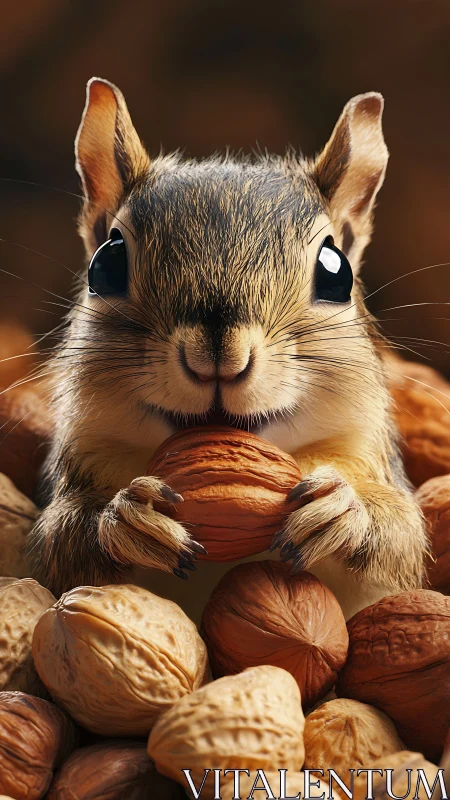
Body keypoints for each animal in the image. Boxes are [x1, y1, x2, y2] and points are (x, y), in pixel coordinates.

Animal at [30, 77, 427, 621]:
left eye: (337, 271)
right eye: (105, 266)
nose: (219, 356)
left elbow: (402, 539)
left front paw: (346, 509)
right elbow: (63, 542)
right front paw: (124, 518)